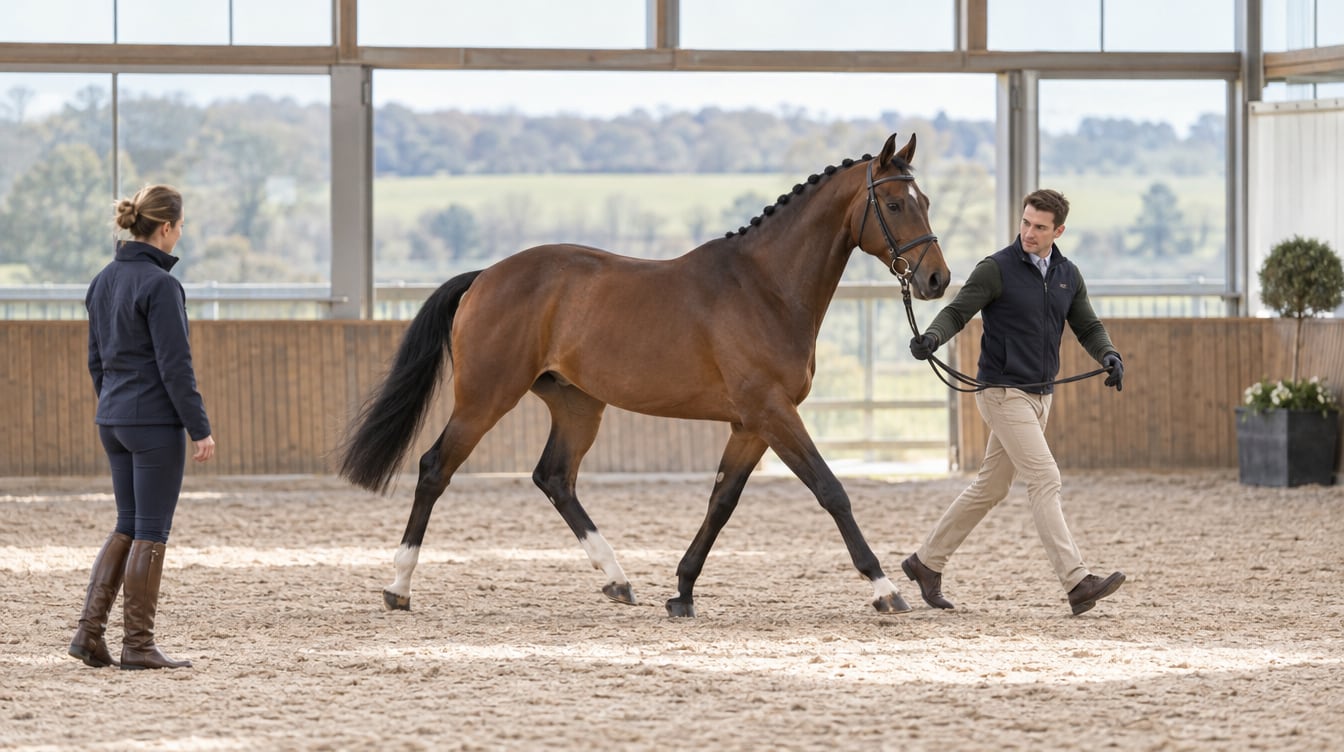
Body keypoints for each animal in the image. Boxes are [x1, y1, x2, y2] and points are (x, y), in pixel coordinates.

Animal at [338, 132, 950, 617]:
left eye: (924, 200)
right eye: (894, 203)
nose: (937, 280)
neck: (765, 287)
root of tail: (486, 276)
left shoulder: (751, 424)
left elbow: (721, 502)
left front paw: (682, 592)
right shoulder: (773, 413)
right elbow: (831, 491)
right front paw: (884, 589)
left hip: (578, 405)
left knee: (554, 478)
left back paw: (617, 580)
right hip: (484, 399)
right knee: (434, 468)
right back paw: (398, 588)